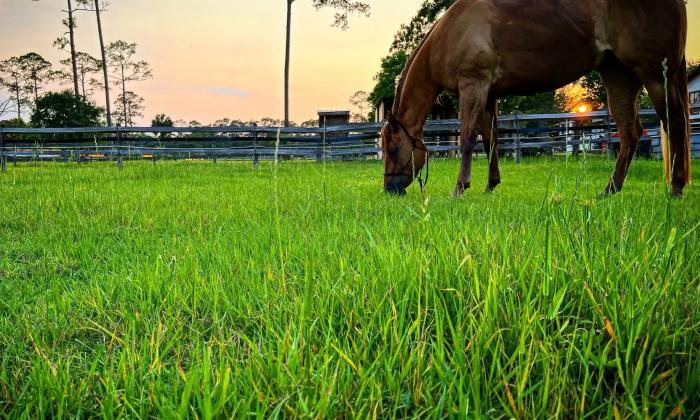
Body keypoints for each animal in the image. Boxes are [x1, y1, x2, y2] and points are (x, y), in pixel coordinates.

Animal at [382, 0, 690, 197]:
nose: (389, 189)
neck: (450, 33)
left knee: (675, 122)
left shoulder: (473, 85)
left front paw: (460, 188)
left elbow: (468, 138)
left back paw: (676, 187)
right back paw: (609, 190)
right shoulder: (489, 94)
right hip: (619, 78)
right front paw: (490, 185)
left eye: (393, 148)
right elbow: (490, 139)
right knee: (630, 134)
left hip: (653, 75)